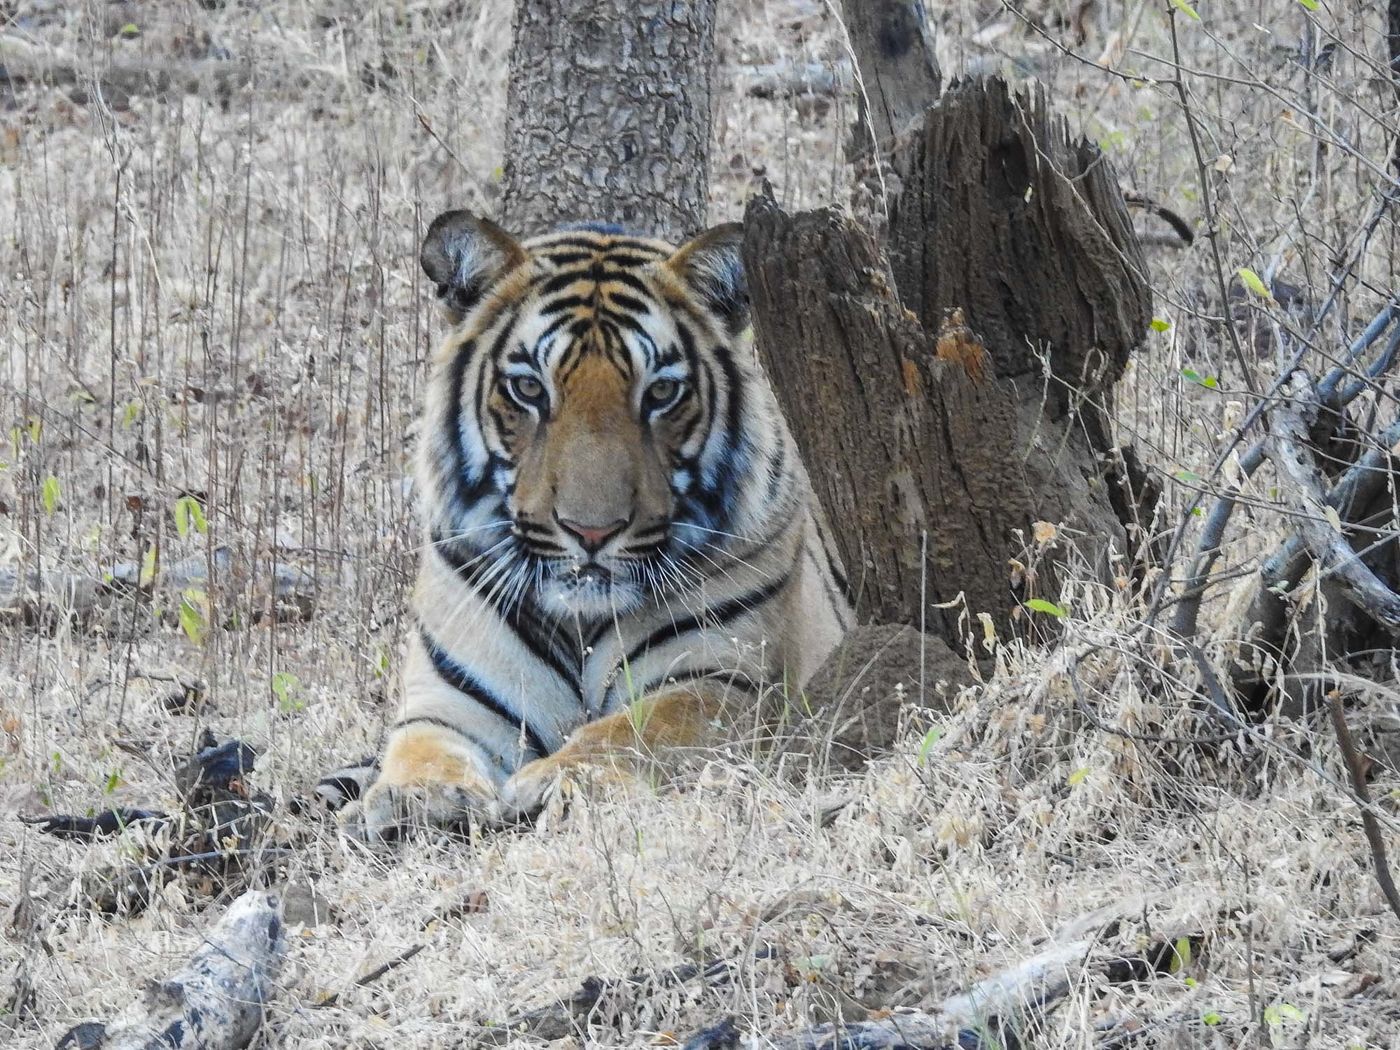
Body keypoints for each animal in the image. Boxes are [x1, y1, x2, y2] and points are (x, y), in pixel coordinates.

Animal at [336, 214, 851, 840]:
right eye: (529, 388)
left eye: (661, 392)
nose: (591, 533)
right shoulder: (451, 697)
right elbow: (421, 746)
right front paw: (415, 798)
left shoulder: (718, 681)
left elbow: (632, 729)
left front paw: (557, 778)